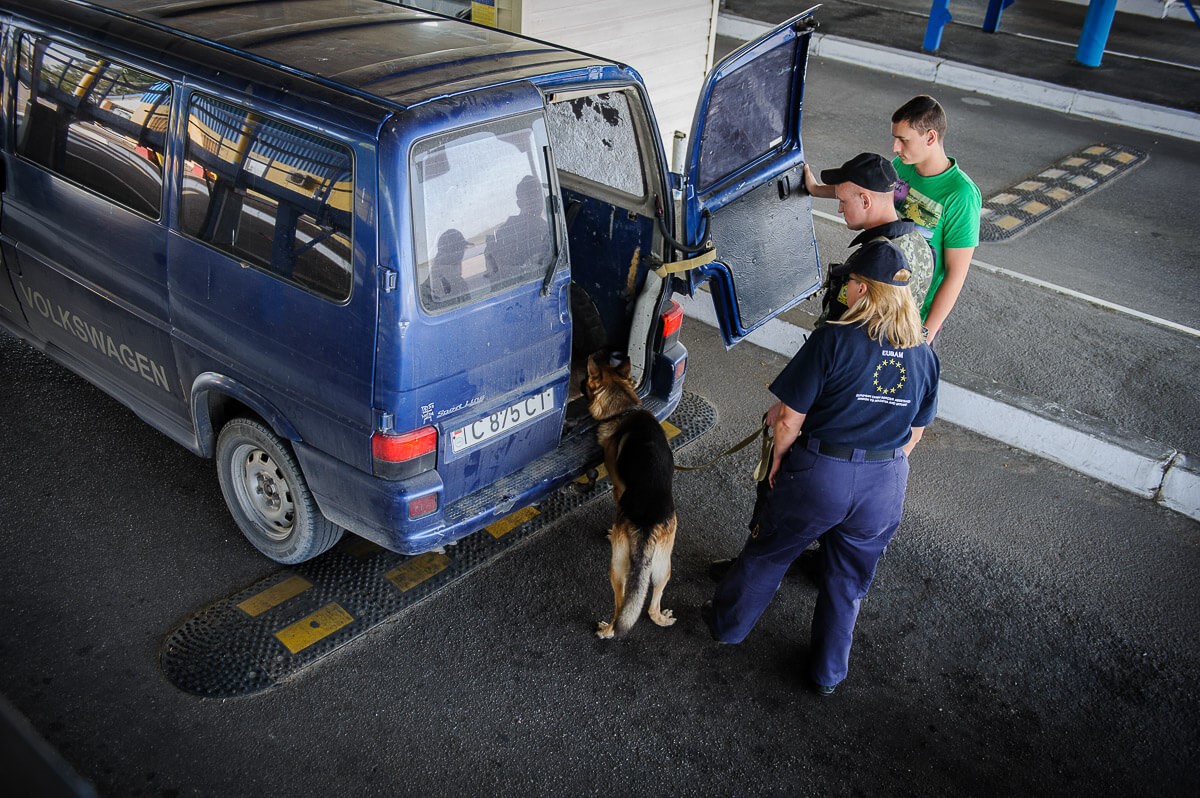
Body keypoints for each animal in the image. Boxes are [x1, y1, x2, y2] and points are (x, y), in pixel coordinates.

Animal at [585, 352, 681, 638]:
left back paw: (607, 630)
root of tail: (648, 525)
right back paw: (661, 617)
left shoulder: (618, 487)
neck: (625, 407)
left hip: (617, 568)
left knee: (621, 609)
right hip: (663, 567)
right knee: (650, 606)